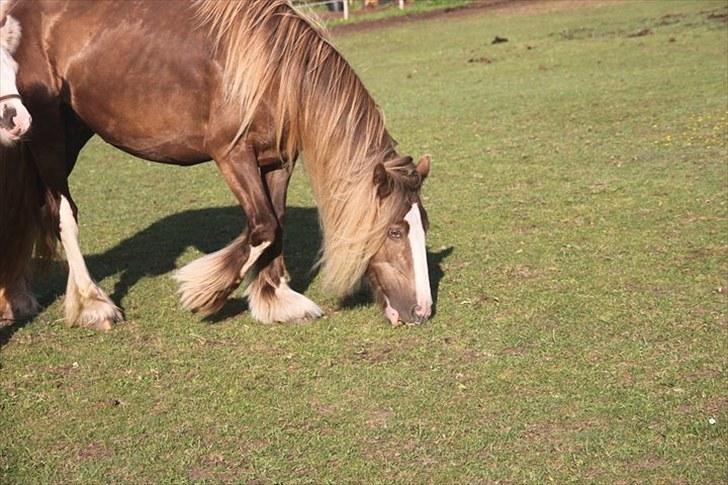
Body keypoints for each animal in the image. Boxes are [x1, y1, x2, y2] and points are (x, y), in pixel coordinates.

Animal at [0, 0, 432, 328]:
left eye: (421, 226)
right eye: (395, 231)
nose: (422, 310)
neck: (272, 71)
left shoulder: (278, 162)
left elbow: (277, 223)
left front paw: (275, 298)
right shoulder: (233, 155)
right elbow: (263, 226)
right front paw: (205, 291)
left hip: (69, 134)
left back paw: (15, 296)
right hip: (47, 135)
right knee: (62, 214)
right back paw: (93, 305)